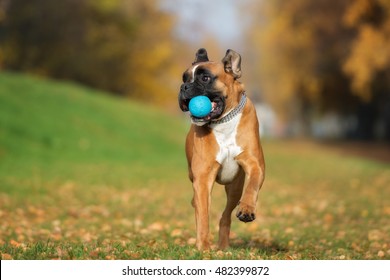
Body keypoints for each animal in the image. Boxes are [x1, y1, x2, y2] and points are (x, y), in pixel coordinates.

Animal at [179, 48, 266, 249]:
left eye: (205, 78)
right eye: (184, 78)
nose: (184, 87)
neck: (223, 120)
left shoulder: (255, 164)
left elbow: (252, 185)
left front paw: (247, 208)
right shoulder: (203, 178)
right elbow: (203, 216)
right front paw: (203, 247)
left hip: (234, 188)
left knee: (225, 215)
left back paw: (224, 245)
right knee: (201, 206)